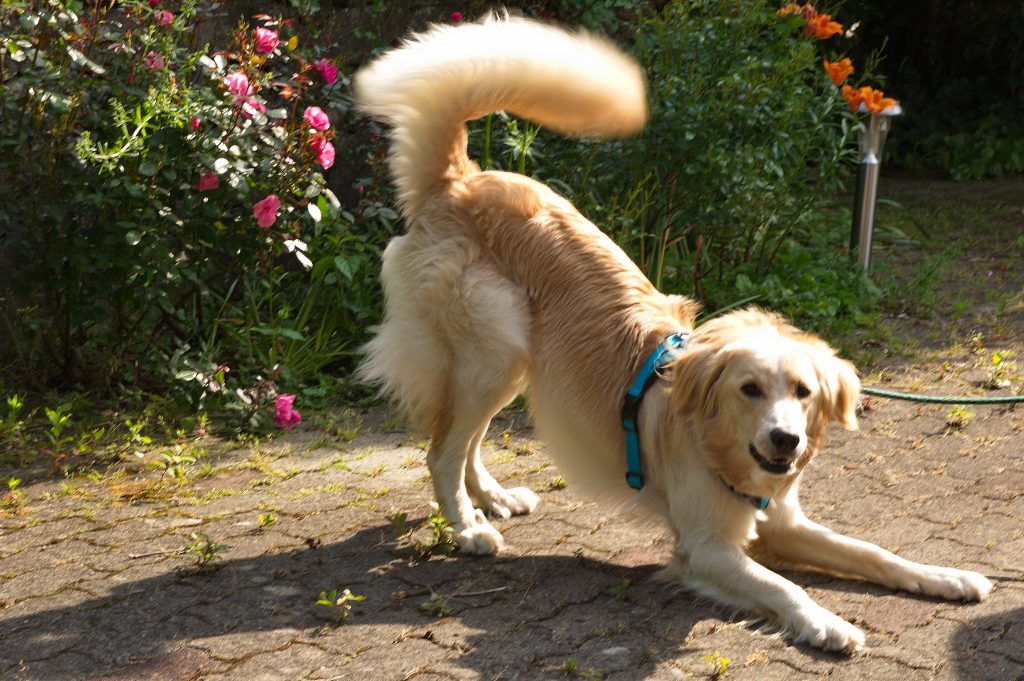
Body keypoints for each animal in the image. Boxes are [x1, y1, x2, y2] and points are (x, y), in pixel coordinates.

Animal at [356, 14, 995, 655]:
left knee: (465, 440)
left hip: (506, 363)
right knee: (442, 449)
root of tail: (460, 181)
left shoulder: (783, 522)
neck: (722, 449)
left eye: (803, 392)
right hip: (493, 352)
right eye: (749, 390)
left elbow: (872, 551)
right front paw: (828, 622)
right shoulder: (707, 548)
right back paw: (468, 527)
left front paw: (946, 576)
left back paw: (492, 499)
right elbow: (784, 586)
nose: (786, 439)